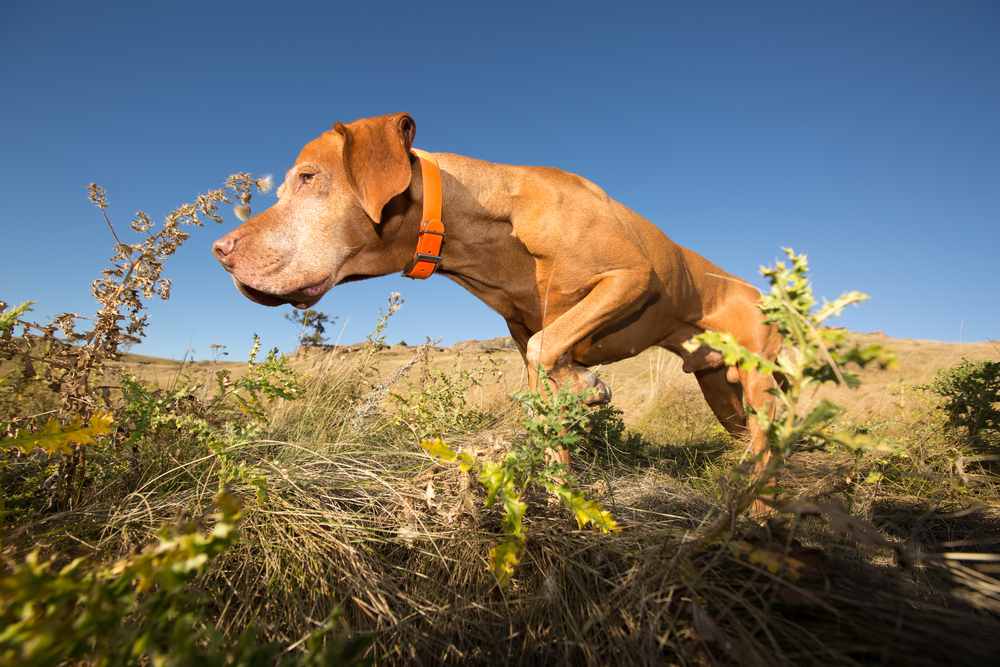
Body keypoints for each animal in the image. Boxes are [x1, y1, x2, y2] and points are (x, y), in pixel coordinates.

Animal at [215, 113, 784, 486]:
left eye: (309, 178)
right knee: (748, 434)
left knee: (767, 436)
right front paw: (561, 487)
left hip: (755, 377)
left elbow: (551, 349)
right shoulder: (527, 340)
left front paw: (588, 387)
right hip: (719, 390)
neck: (488, 224)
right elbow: (544, 394)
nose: (220, 251)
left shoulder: (631, 278)